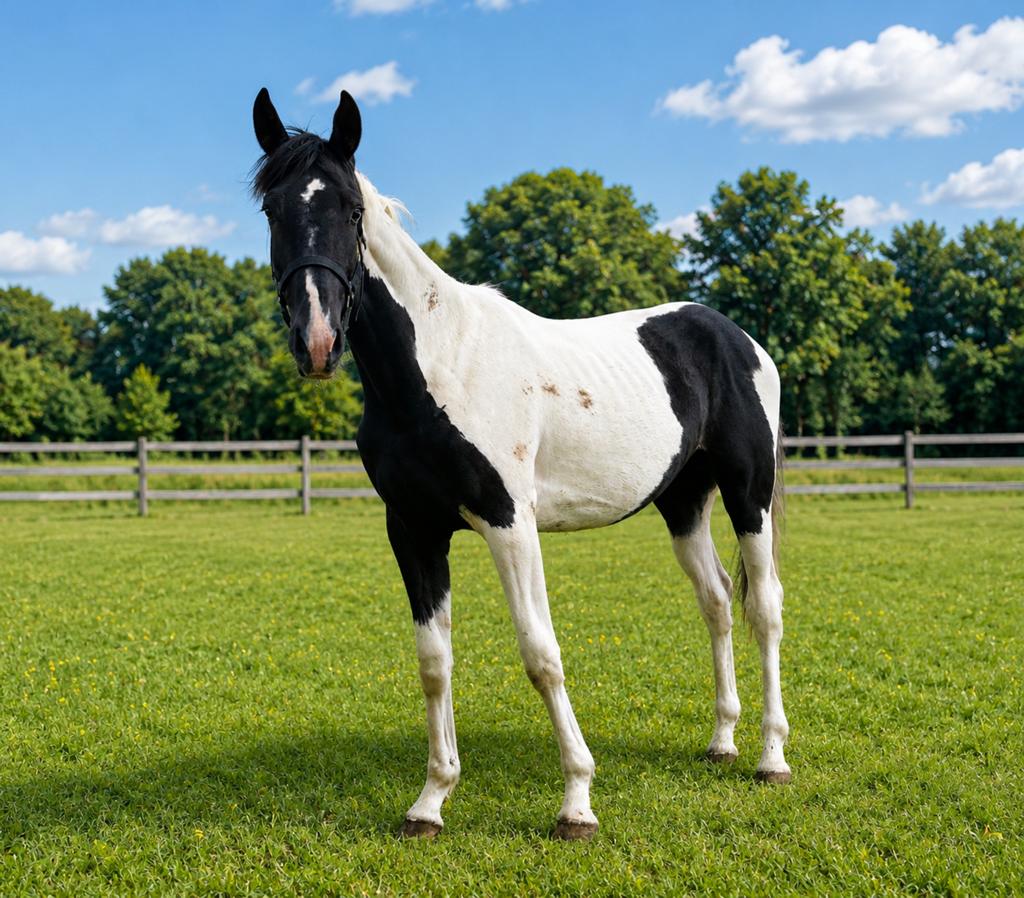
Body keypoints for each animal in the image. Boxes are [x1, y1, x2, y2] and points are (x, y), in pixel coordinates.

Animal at [250, 87, 791, 841]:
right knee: (715, 601)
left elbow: (540, 653)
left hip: (749, 493)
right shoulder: (412, 530)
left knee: (763, 607)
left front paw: (577, 801)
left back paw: (771, 757)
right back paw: (722, 742)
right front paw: (431, 800)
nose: (318, 341)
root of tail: (735, 338)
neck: (439, 365)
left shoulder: (510, 524)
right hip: (683, 501)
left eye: (351, 210)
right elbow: (434, 660)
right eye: (273, 210)